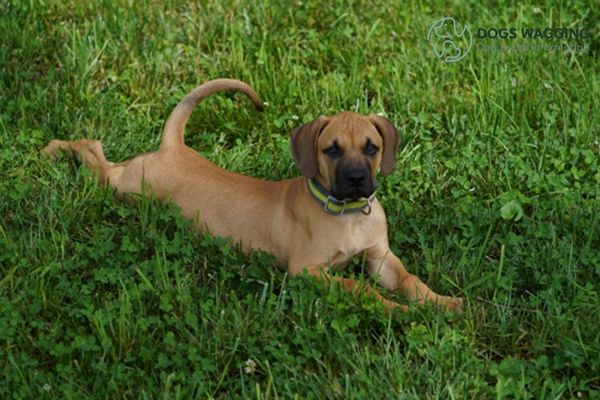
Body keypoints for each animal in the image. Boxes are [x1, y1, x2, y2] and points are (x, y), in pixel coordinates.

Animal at [43, 79, 464, 312]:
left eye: (372, 147)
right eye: (331, 150)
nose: (358, 179)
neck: (346, 215)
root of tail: (174, 147)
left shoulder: (380, 259)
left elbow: (410, 280)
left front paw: (442, 303)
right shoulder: (308, 271)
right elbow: (357, 287)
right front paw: (397, 311)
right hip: (125, 185)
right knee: (94, 152)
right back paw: (55, 148)